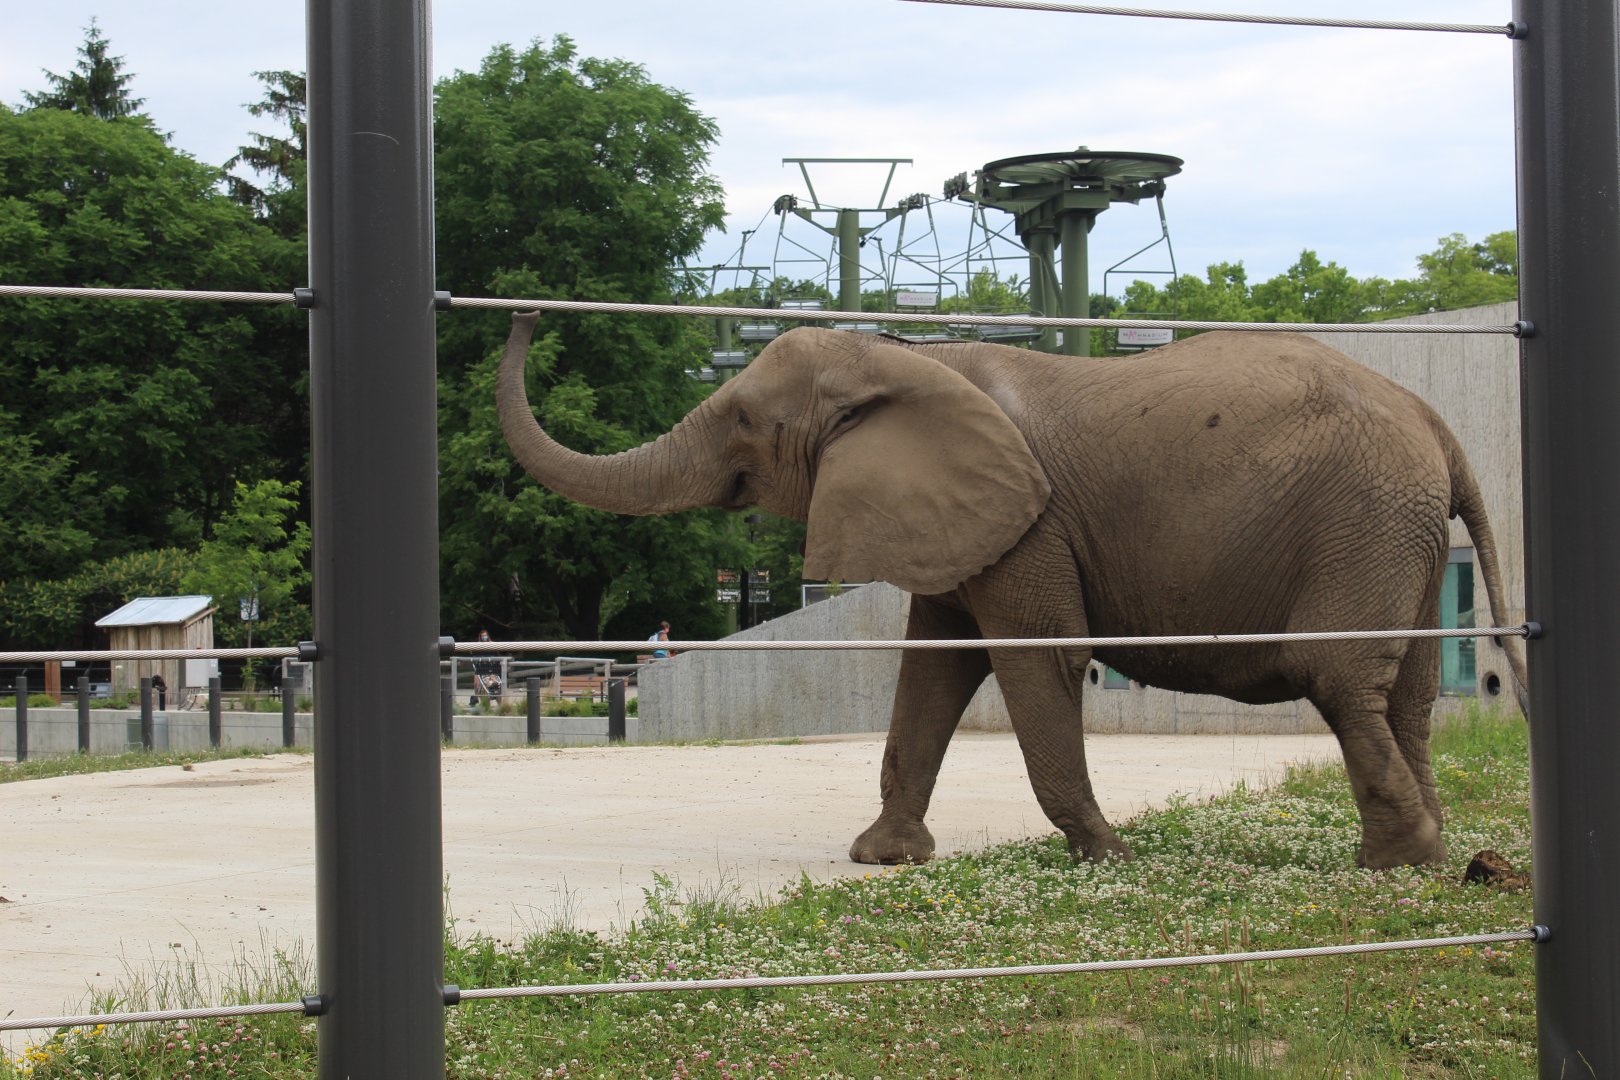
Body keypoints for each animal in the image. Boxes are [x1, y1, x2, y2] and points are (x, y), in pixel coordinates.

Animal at [497, 314, 1528, 870]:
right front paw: (882, 860)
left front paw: (1108, 857)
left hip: (1366, 515)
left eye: (747, 420)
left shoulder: (1030, 527)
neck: (907, 356)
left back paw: (1401, 860)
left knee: (1339, 675)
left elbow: (1037, 660)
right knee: (1406, 694)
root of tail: (1439, 425)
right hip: (1397, 529)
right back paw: (1426, 858)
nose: (525, 319)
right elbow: (933, 668)